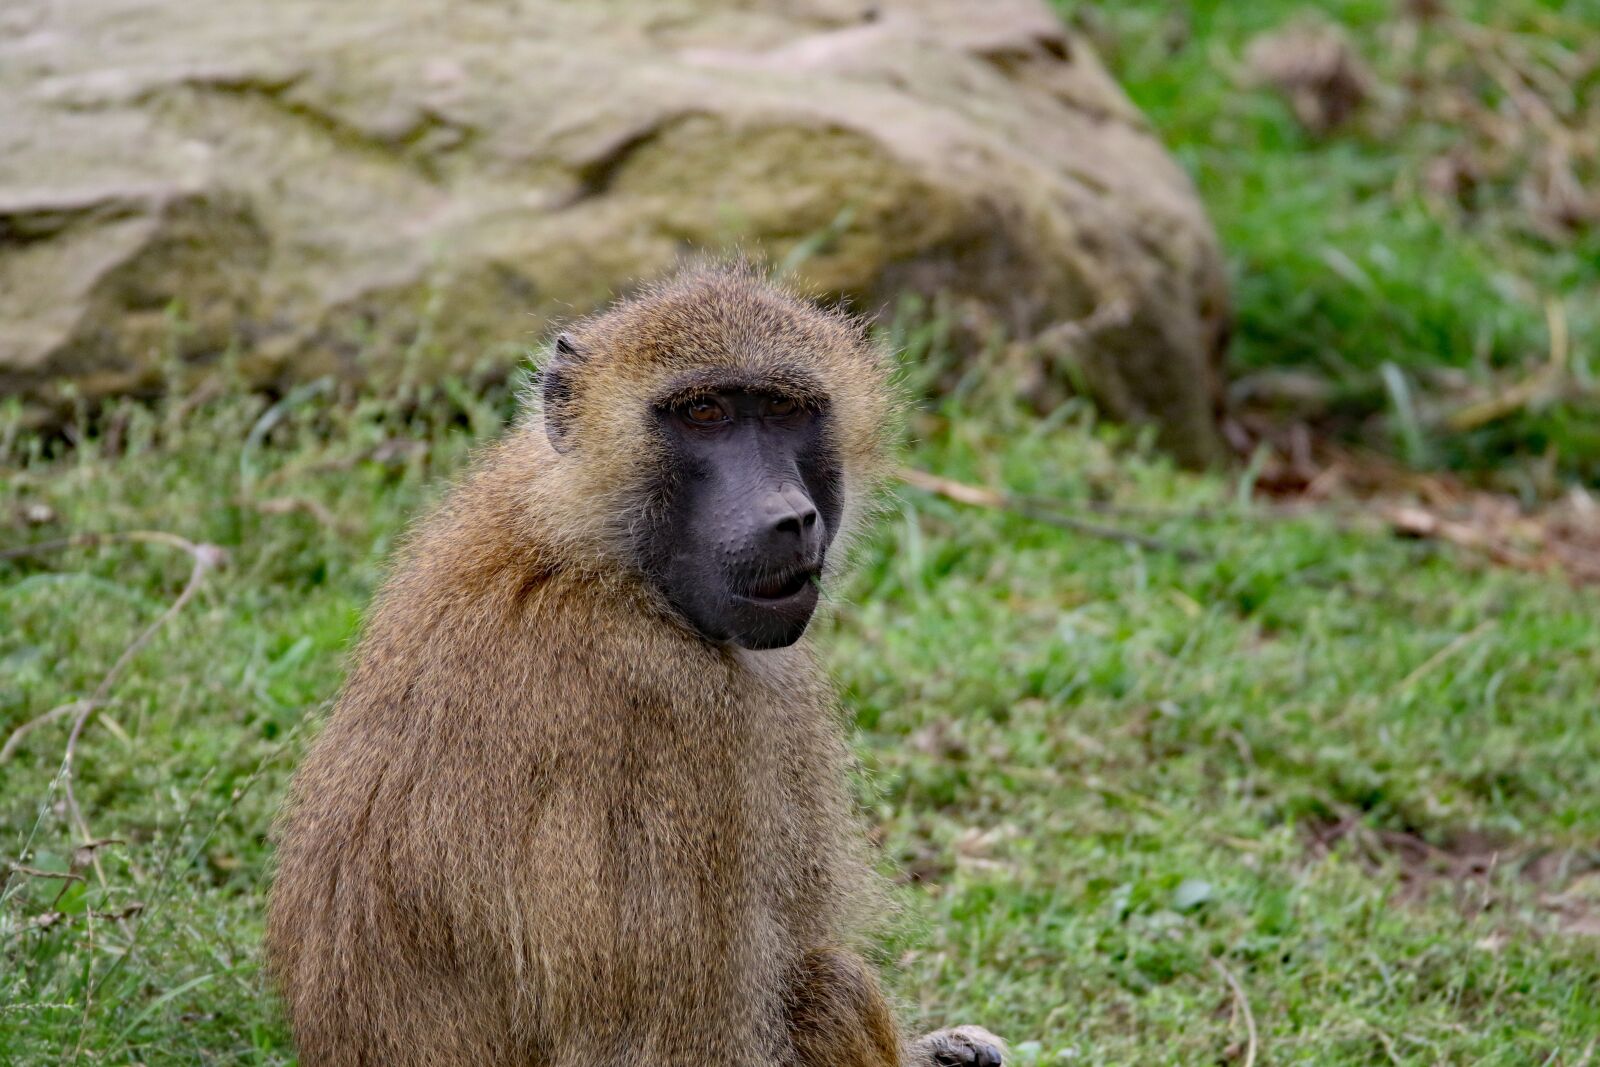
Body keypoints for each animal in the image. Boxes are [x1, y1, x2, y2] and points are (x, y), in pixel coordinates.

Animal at [264, 265, 1006, 1067]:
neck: (594, 556)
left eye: (784, 410)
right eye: (704, 412)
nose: (789, 516)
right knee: (828, 990)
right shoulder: (659, 705)